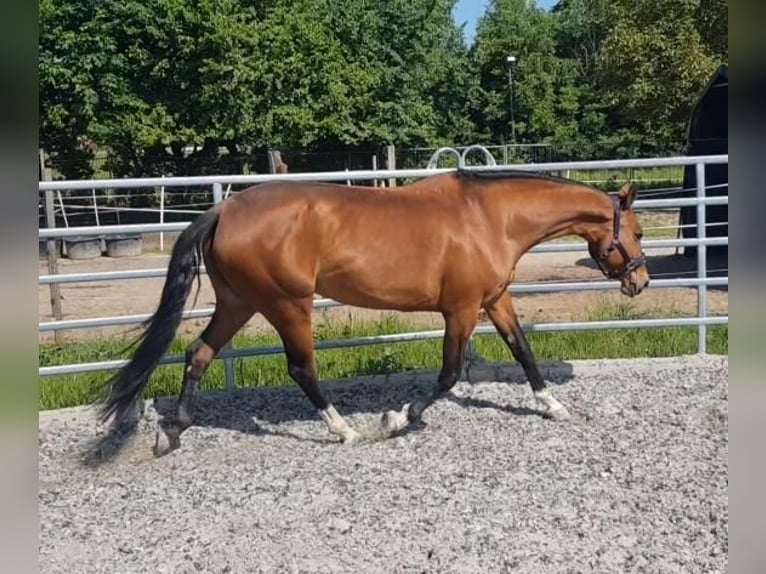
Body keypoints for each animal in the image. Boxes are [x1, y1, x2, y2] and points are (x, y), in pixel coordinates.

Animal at [94, 169, 648, 456]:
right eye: (639, 232)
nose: (639, 282)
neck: (490, 219)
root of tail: (223, 209)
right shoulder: (461, 309)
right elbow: (448, 374)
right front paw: (398, 417)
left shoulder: (495, 300)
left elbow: (523, 351)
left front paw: (552, 406)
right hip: (287, 305)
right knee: (301, 368)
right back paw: (345, 431)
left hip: (239, 303)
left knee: (199, 353)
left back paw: (174, 431)